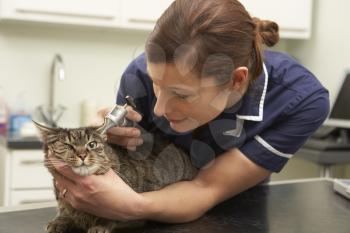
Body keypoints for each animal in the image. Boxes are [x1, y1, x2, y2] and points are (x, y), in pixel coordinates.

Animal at [34, 121, 198, 233]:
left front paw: (101, 224)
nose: (82, 155)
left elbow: (113, 215)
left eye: (92, 144)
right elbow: (64, 211)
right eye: (68, 146)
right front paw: (60, 221)